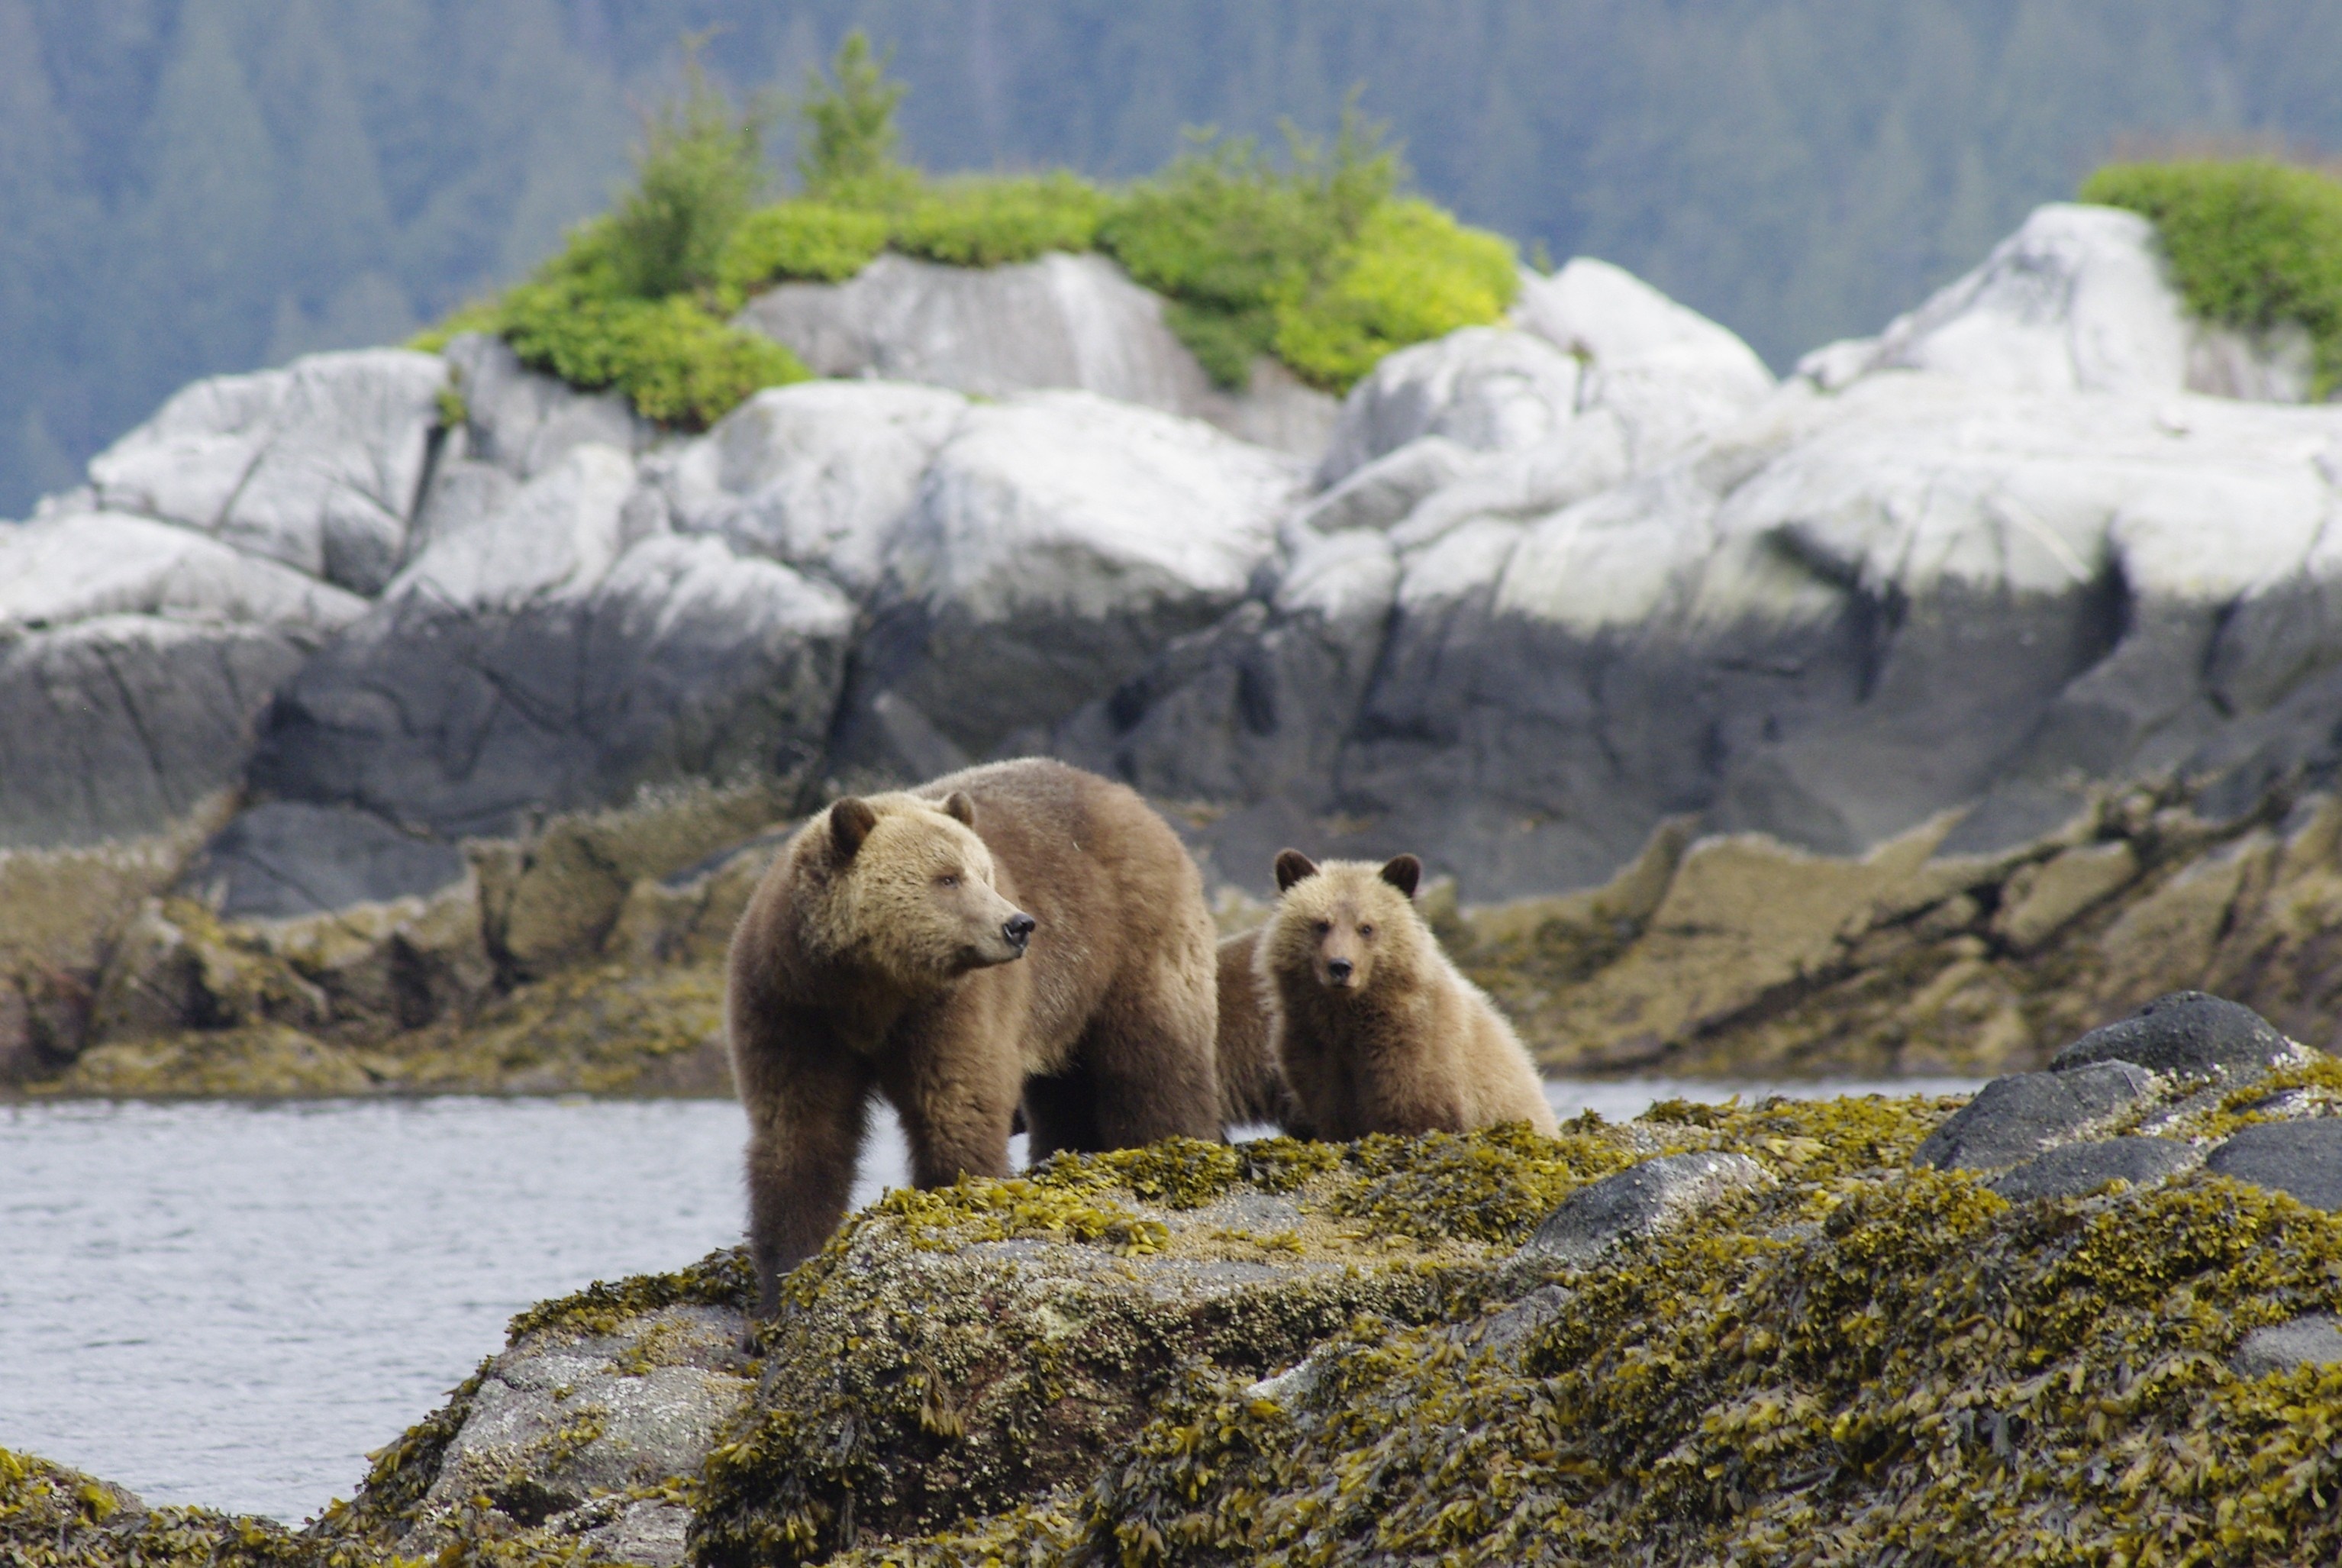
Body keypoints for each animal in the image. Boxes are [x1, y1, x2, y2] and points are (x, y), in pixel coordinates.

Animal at [726, 757, 1222, 1318]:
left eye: (984, 873)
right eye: (947, 877)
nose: (1019, 925)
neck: (870, 988)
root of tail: (1131, 801)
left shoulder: (947, 1007)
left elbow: (957, 1104)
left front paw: (949, 1205)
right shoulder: (791, 1007)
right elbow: (801, 1131)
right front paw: (780, 1289)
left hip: (1131, 943)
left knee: (1154, 1063)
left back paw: (1174, 1147)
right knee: (1065, 1093)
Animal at [1259, 850, 1557, 1140]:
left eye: (1366, 927)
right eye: (1321, 923)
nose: (1340, 966)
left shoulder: (1417, 1054)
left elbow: (1410, 1114)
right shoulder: (1313, 1049)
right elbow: (1329, 1111)